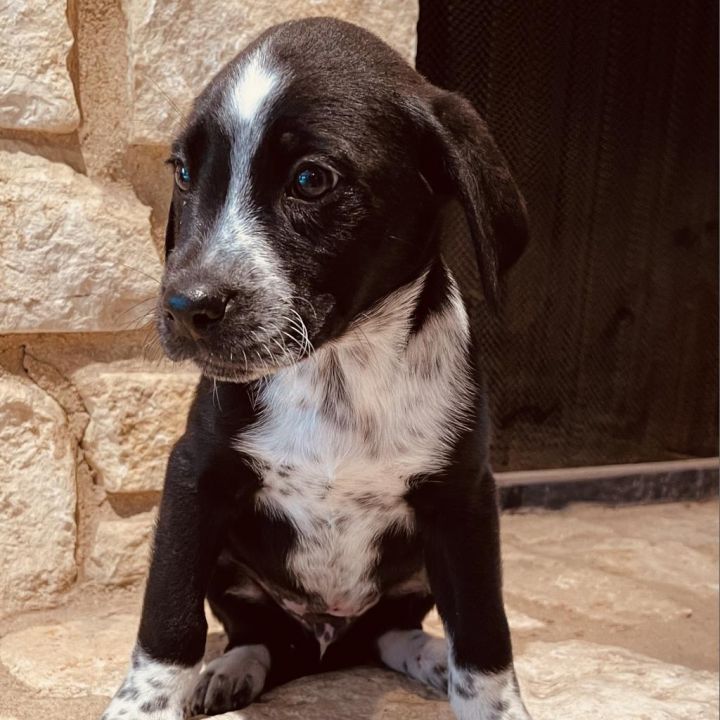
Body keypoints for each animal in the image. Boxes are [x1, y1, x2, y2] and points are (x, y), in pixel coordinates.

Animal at [102, 16, 528, 720]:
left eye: (310, 180)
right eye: (185, 174)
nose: (186, 306)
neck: (338, 371)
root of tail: (331, 645)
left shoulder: (465, 498)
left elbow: (483, 635)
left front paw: (489, 701)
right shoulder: (194, 476)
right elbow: (167, 621)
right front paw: (146, 702)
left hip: (415, 573)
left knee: (394, 631)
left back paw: (429, 658)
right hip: (233, 570)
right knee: (264, 637)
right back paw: (231, 670)